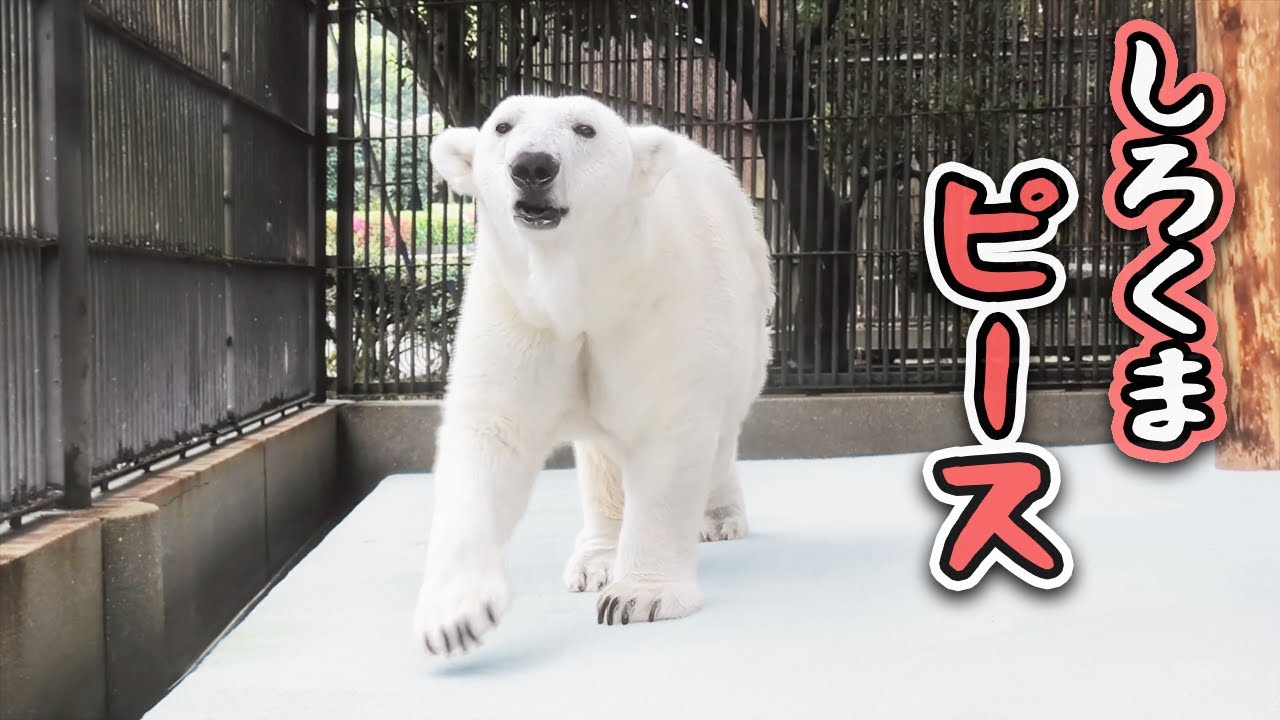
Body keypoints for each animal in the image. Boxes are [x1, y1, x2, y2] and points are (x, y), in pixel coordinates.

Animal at [413, 94, 774, 656]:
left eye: (586, 128)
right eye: (503, 125)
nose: (532, 166)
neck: (581, 291)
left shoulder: (657, 305)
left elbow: (668, 431)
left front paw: (640, 597)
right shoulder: (520, 314)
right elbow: (491, 435)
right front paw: (455, 618)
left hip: (748, 328)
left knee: (720, 435)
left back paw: (719, 519)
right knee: (600, 457)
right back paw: (594, 560)